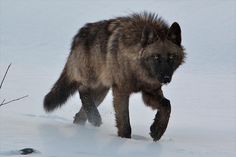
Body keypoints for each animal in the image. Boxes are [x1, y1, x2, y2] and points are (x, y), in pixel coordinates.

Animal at [43, 11, 185, 140]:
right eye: (156, 57)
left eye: (171, 57)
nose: (166, 78)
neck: (137, 69)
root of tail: (78, 36)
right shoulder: (120, 91)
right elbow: (124, 122)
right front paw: (124, 140)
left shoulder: (150, 91)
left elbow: (167, 105)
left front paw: (157, 130)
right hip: (94, 81)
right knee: (82, 88)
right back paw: (95, 118)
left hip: (101, 93)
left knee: (79, 115)